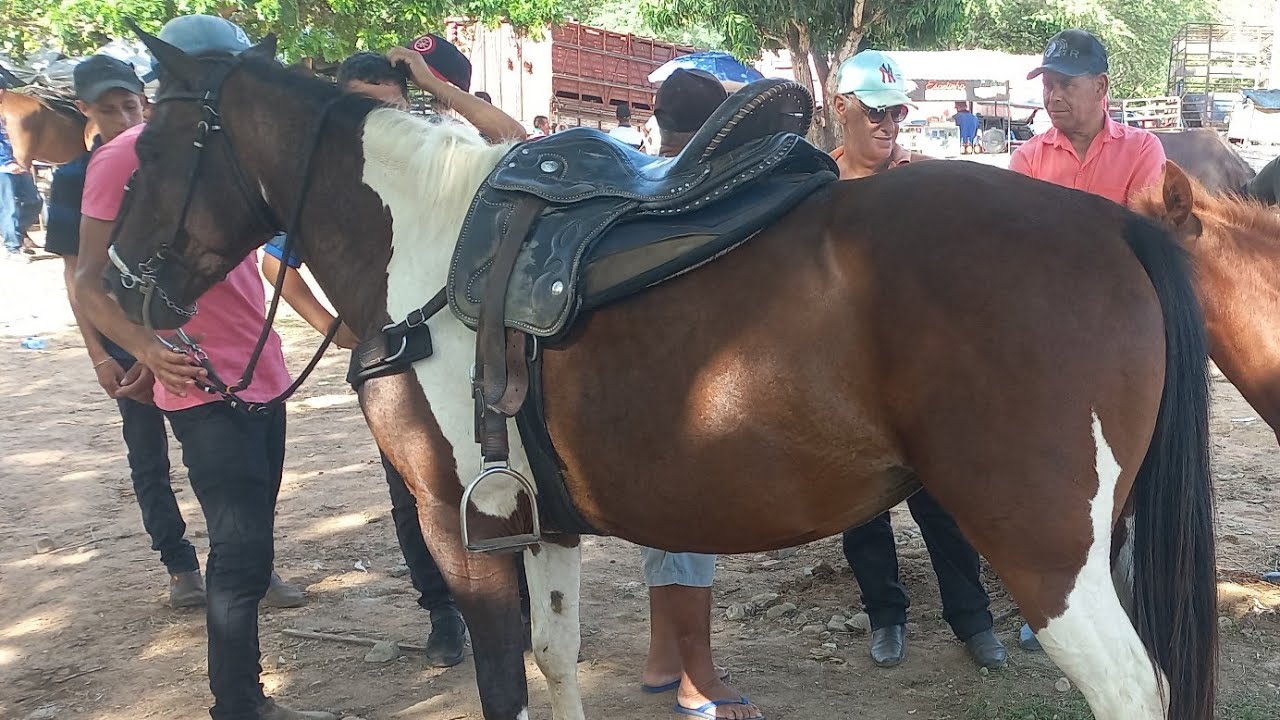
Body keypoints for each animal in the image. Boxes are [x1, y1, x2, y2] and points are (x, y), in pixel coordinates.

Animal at [106, 31, 1218, 720]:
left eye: (153, 149)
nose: (118, 280)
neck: (425, 244)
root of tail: (1110, 224)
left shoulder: (457, 524)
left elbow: (502, 681)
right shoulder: (536, 523)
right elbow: (555, 665)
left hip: (1045, 552)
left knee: (1131, 690)